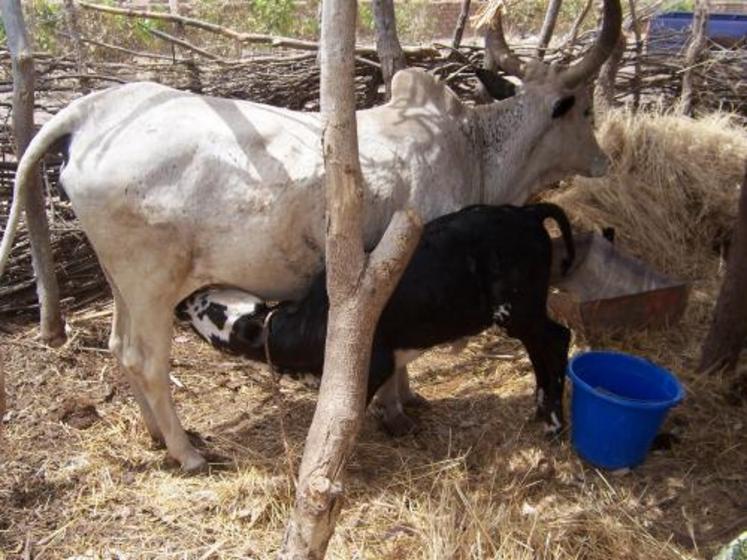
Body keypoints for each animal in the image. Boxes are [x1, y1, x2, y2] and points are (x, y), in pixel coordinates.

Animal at [0, 1, 624, 472]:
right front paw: (398, 409)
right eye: (582, 110)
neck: (475, 146)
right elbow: (396, 358)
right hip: (152, 285)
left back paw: (159, 437)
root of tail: (94, 111)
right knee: (144, 360)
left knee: (118, 350)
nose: (603, 160)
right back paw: (187, 452)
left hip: (123, 284)